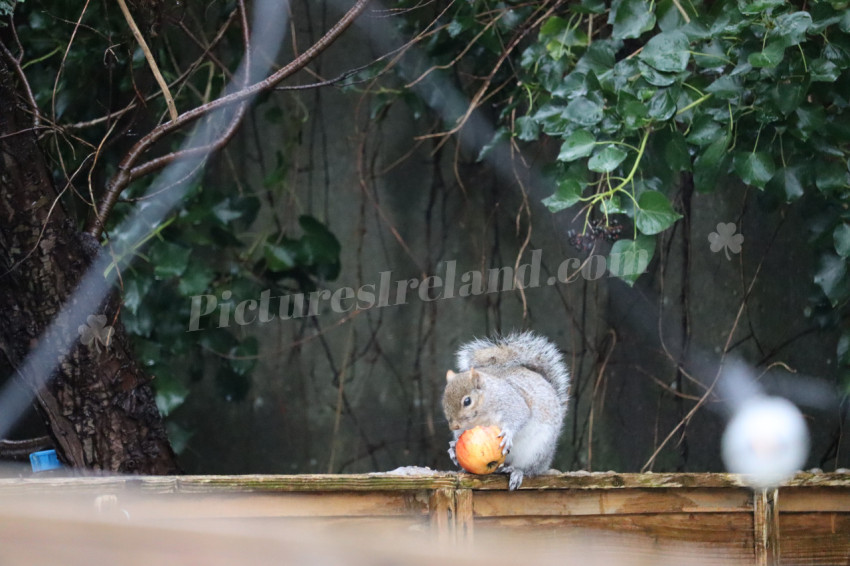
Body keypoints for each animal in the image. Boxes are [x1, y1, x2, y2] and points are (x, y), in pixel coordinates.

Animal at [442, 331, 570, 490]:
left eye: (467, 401)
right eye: (443, 401)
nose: (454, 426)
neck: (481, 417)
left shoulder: (510, 402)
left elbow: (520, 415)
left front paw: (507, 434)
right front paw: (453, 447)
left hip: (537, 451)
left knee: (529, 469)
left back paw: (516, 472)